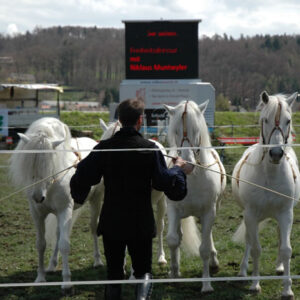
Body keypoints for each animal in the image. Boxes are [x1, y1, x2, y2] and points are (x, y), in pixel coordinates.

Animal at [9, 116, 103, 288]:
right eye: (30, 165)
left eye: (48, 165)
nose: (38, 197)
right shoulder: (38, 214)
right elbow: (41, 244)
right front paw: (40, 277)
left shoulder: (65, 210)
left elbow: (65, 245)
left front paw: (66, 282)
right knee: (58, 235)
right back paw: (52, 265)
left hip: (96, 200)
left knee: (93, 228)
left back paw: (97, 260)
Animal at [164, 99, 225, 292]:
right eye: (176, 131)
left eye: (196, 129)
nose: (187, 164)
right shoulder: (173, 209)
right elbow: (173, 240)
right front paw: (173, 276)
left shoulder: (208, 212)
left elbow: (204, 248)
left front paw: (206, 285)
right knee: (178, 236)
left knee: (208, 236)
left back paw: (213, 262)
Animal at [232, 91, 300, 298]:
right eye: (265, 119)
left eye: (288, 120)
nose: (276, 153)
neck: (270, 175)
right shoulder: (251, 215)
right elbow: (255, 249)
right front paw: (255, 284)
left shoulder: (286, 213)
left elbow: (286, 249)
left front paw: (287, 288)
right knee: (248, 240)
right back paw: (243, 271)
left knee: (279, 235)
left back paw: (279, 267)